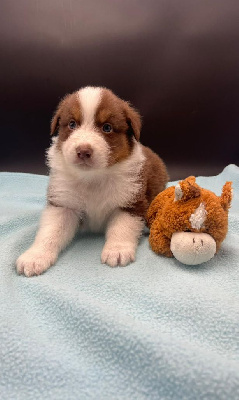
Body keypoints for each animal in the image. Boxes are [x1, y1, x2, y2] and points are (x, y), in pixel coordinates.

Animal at [16, 86, 168, 276]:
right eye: (72, 124)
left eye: (107, 127)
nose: (83, 151)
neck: (93, 178)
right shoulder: (63, 204)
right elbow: (50, 232)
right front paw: (35, 257)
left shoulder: (131, 202)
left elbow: (122, 228)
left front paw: (117, 250)